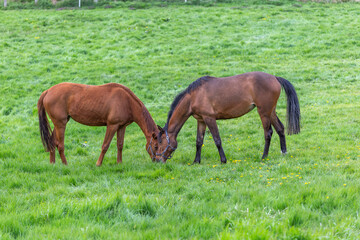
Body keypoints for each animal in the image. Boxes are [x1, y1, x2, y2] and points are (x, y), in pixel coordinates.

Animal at [156, 71, 300, 163]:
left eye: (158, 144)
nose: (157, 160)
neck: (193, 96)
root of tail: (275, 77)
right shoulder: (201, 120)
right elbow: (199, 141)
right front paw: (196, 161)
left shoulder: (209, 118)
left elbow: (217, 140)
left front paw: (223, 160)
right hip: (271, 111)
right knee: (280, 129)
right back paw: (283, 152)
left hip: (264, 112)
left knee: (268, 133)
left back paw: (264, 157)